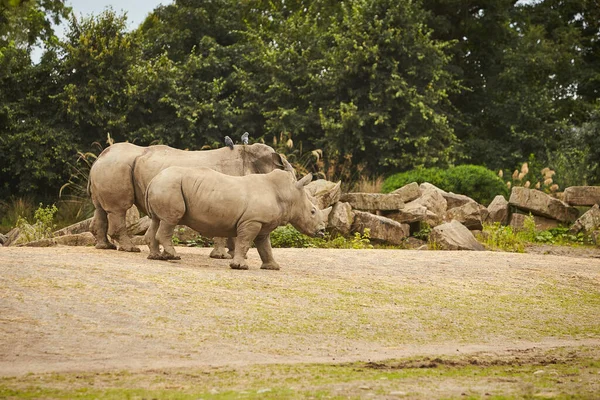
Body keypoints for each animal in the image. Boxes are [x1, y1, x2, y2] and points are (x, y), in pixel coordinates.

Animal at [88, 141, 292, 256]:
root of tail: (99, 157)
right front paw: (223, 256)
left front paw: (234, 254)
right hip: (116, 166)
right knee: (119, 209)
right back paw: (131, 249)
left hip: (110, 166)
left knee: (100, 209)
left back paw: (105, 247)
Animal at [145, 167, 332, 270]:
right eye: (313, 211)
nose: (322, 231)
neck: (288, 194)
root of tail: (153, 179)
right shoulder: (252, 221)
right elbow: (245, 242)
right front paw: (240, 266)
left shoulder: (262, 223)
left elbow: (265, 246)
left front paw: (273, 267)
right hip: (169, 185)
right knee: (169, 221)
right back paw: (173, 256)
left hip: (165, 185)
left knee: (156, 221)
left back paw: (156, 257)